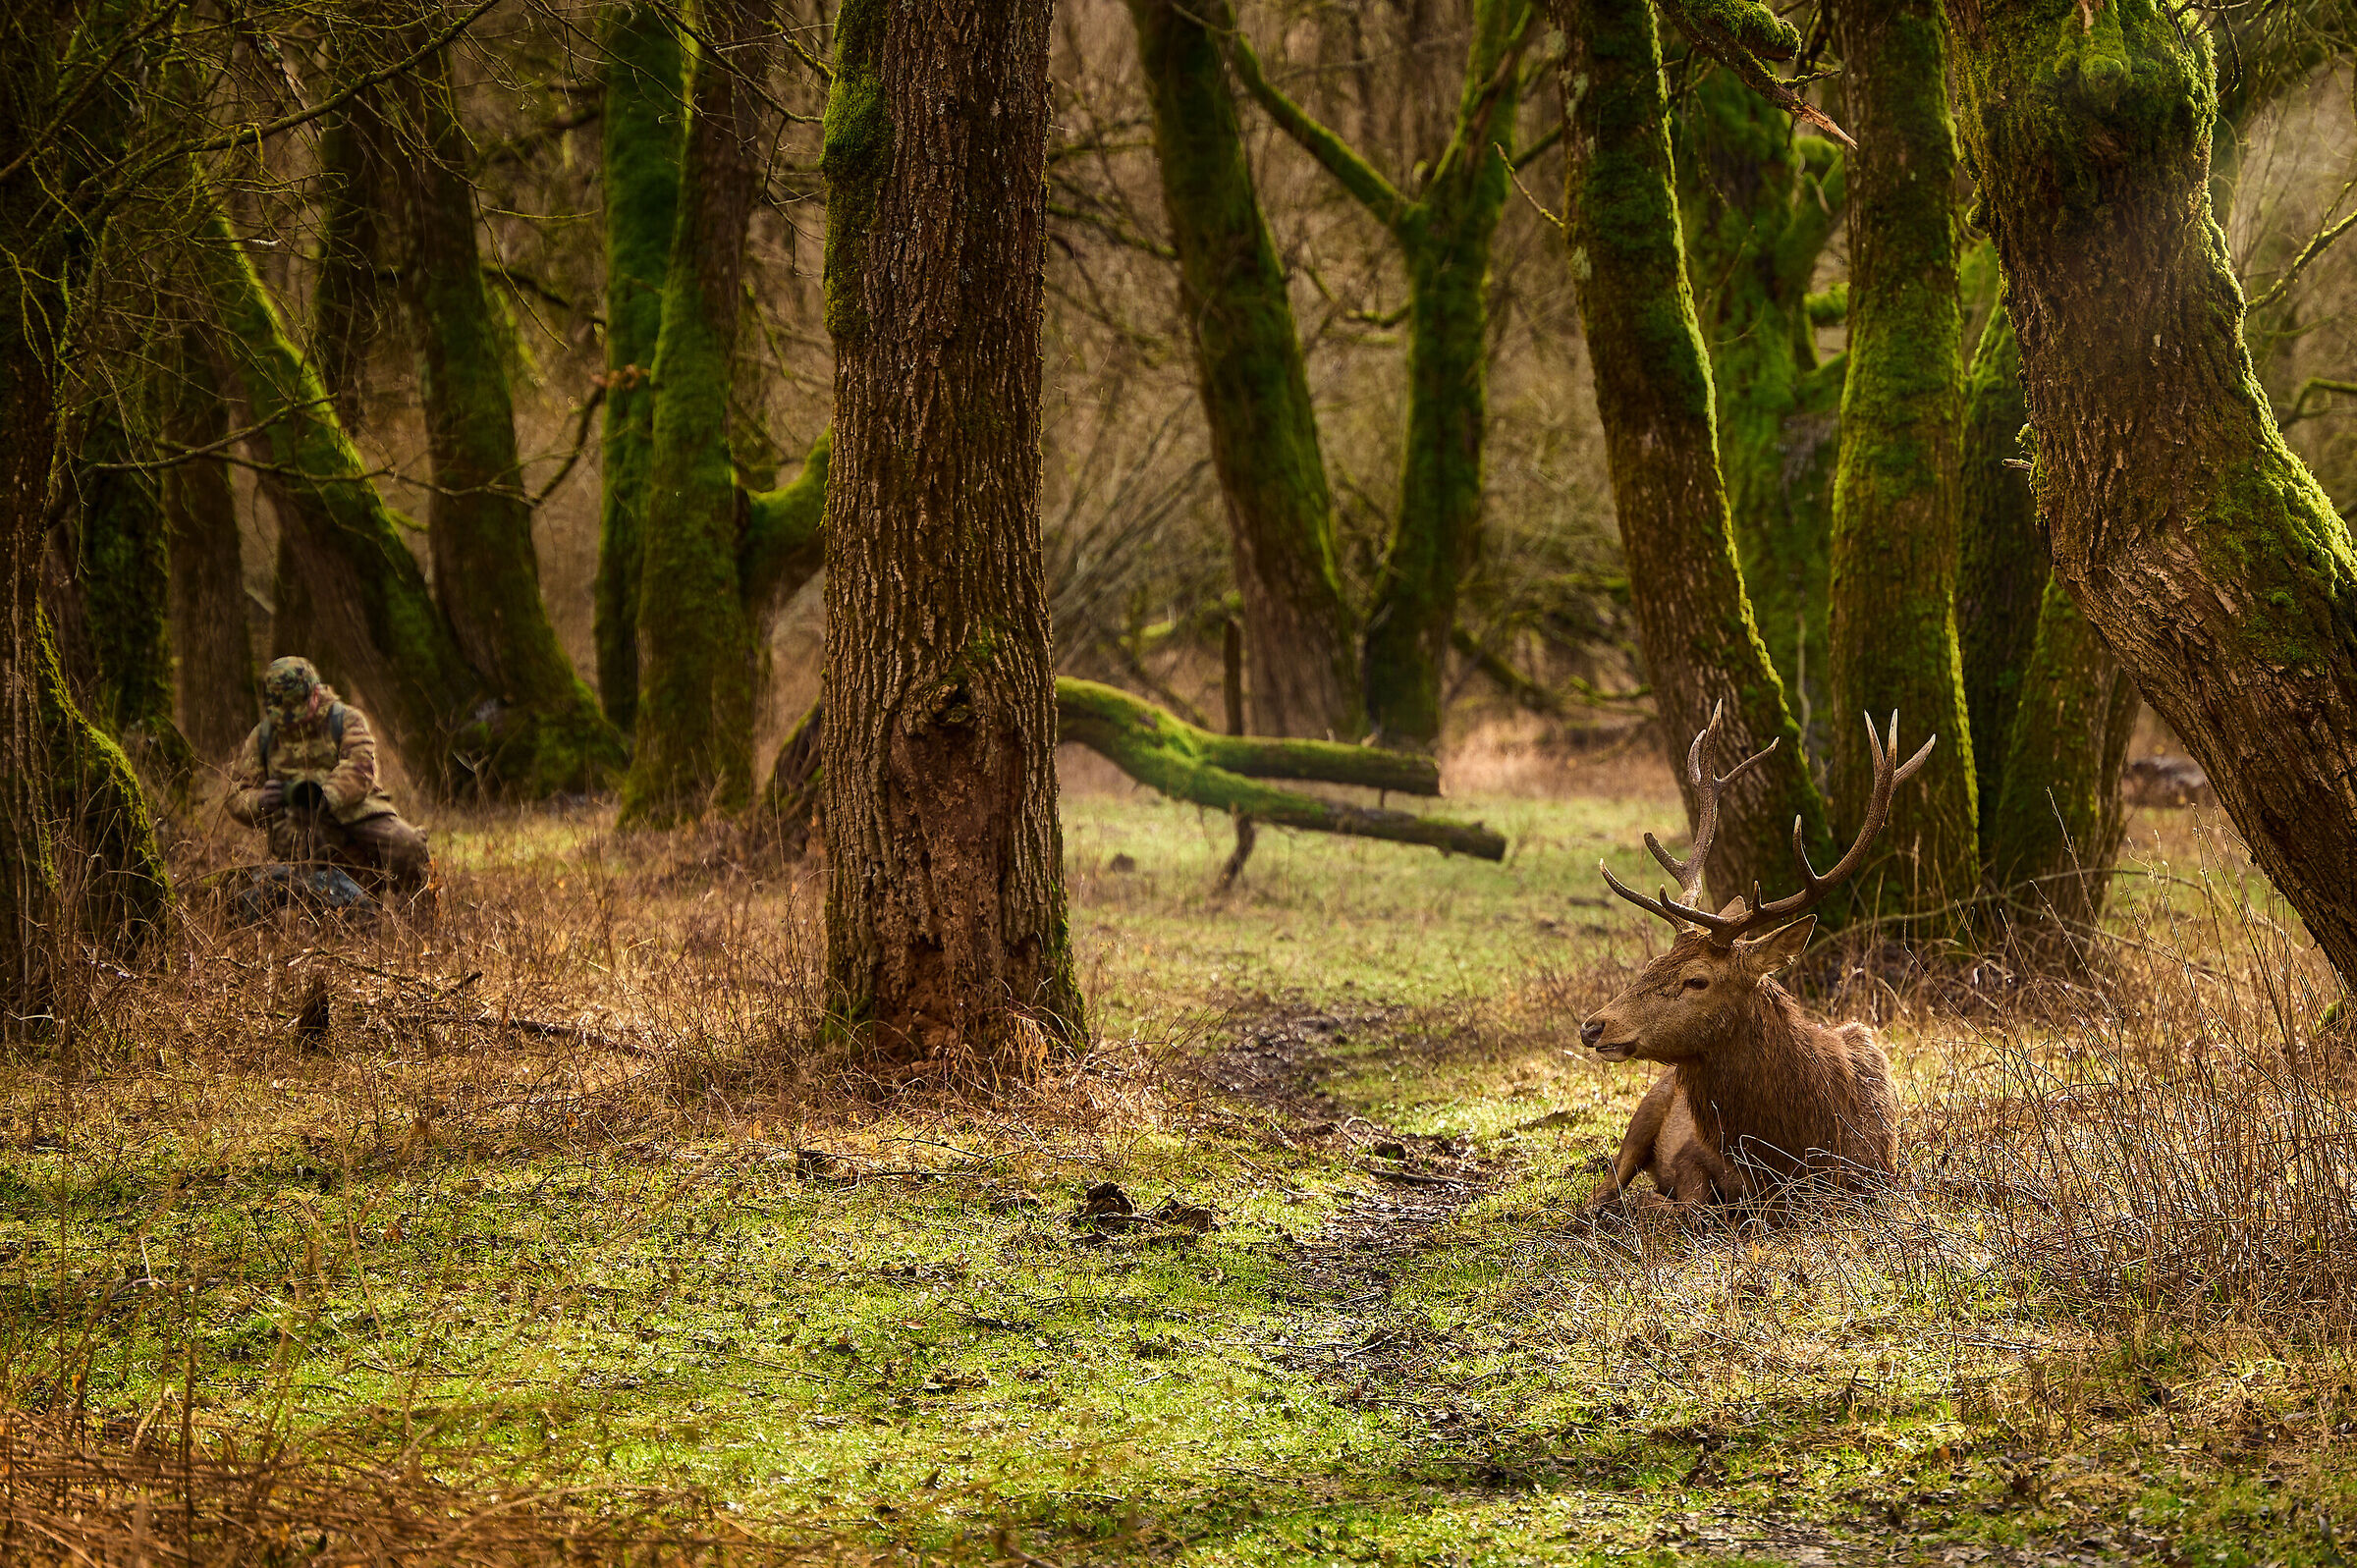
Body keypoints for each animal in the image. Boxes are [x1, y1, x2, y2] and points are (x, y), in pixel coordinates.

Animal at [1578, 703, 1934, 1214]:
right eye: (1650, 966)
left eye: (1697, 980)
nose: (1592, 1027)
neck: (1797, 1148)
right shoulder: (1691, 1155)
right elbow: (1691, 1204)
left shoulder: (1877, 1175)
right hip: (1647, 1107)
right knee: (1606, 1183)